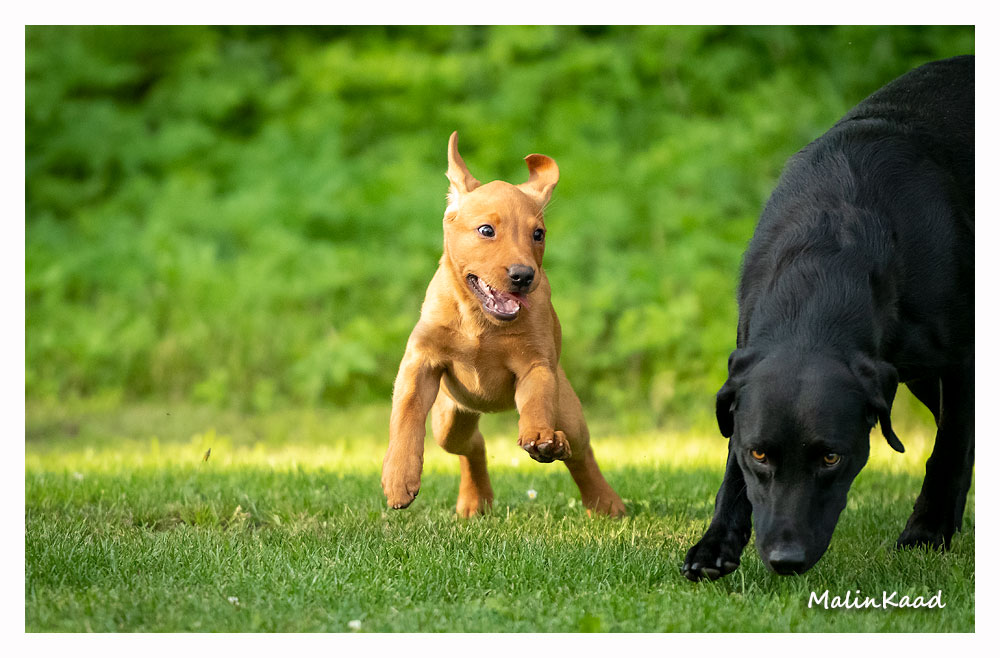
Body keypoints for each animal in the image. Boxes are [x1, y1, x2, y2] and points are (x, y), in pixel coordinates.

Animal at [380, 132, 625, 518]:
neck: (481, 320)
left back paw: (604, 501)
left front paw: (540, 438)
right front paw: (399, 478)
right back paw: (474, 500)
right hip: (450, 418)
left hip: (568, 410)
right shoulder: (419, 361)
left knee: (580, 453)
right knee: (472, 445)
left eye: (538, 234)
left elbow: (537, 401)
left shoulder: (536, 364)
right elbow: (405, 417)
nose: (524, 276)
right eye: (486, 230)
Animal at [683, 55, 974, 580]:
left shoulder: (962, 360)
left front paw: (926, 534)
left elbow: (949, 450)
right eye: (760, 454)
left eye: (831, 457)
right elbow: (733, 469)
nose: (785, 559)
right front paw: (715, 543)